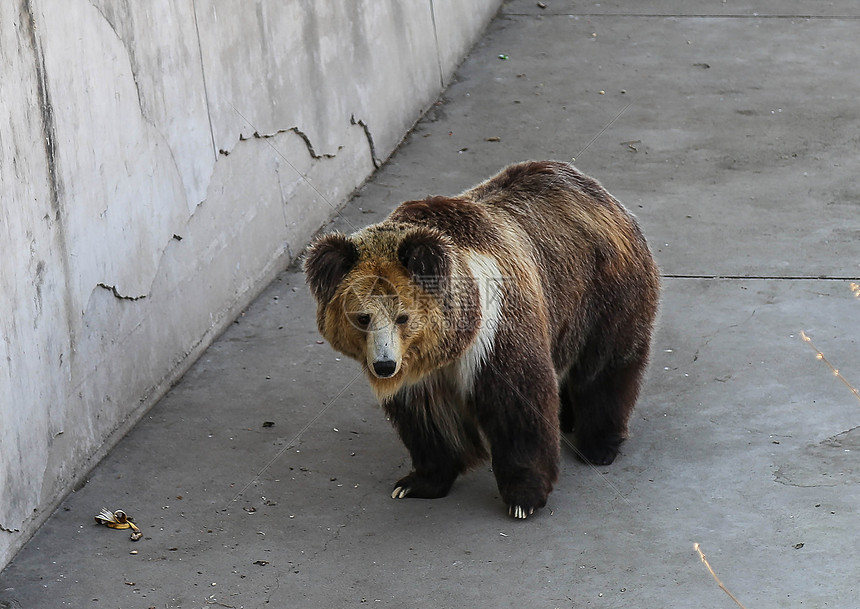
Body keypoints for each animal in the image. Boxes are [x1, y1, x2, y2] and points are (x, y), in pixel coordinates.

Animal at [306, 160, 660, 516]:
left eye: (402, 317)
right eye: (362, 317)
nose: (383, 365)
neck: (450, 345)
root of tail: (595, 188)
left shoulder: (495, 332)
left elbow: (518, 405)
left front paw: (524, 496)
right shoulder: (421, 374)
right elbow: (428, 422)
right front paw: (415, 483)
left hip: (603, 289)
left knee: (605, 365)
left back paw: (599, 443)